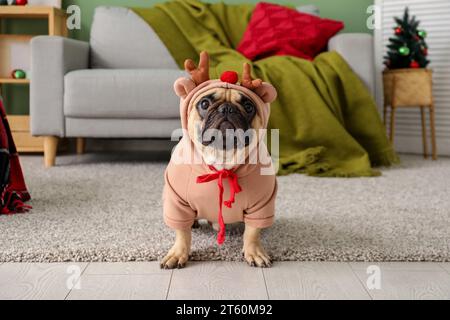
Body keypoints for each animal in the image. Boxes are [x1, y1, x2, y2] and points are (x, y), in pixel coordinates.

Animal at [160, 51, 276, 268]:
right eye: (204, 104)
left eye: (248, 106)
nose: (227, 108)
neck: (222, 160)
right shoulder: (176, 202)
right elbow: (182, 232)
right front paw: (178, 253)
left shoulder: (261, 204)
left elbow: (253, 232)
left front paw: (254, 251)